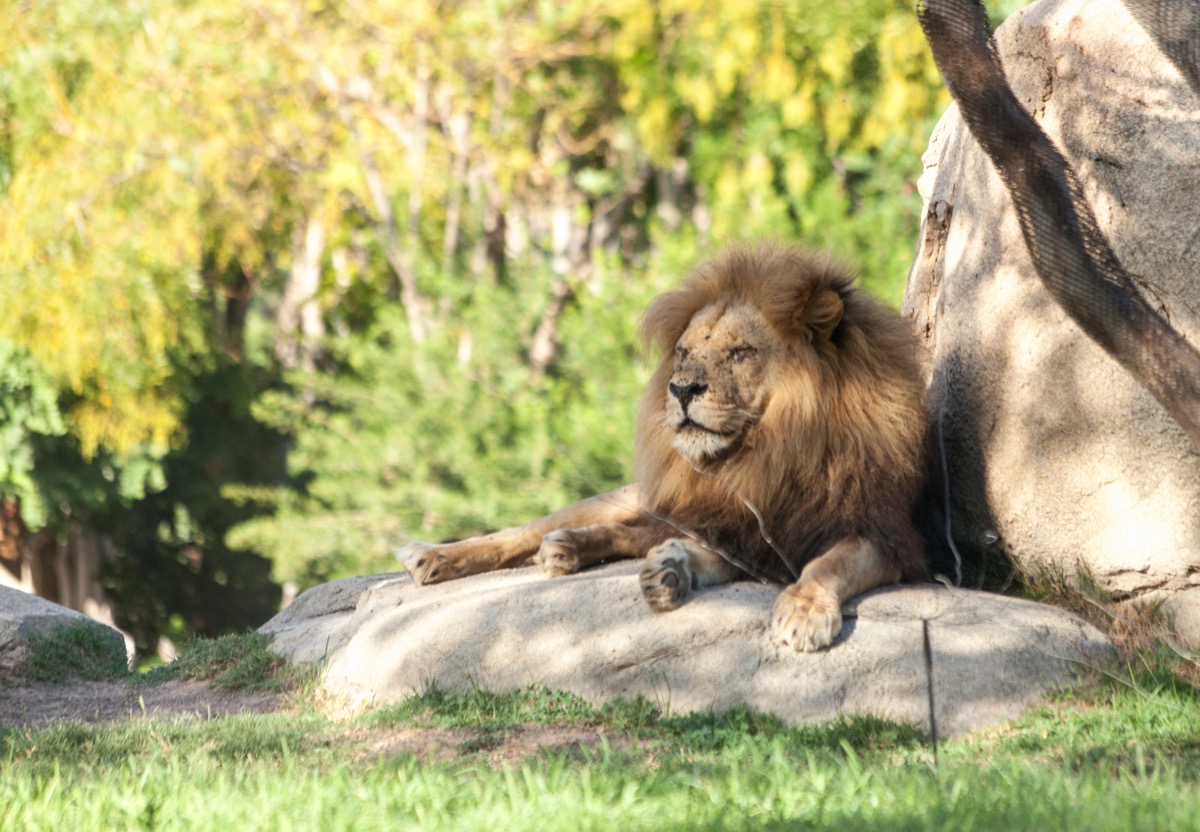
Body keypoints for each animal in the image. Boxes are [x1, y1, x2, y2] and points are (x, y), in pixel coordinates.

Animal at [399, 244, 930, 651]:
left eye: (741, 352)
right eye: (684, 352)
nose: (680, 388)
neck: (771, 454)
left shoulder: (881, 535)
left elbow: (827, 563)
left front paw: (802, 609)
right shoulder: (735, 527)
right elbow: (698, 548)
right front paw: (674, 570)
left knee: (625, 533)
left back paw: (568, 548)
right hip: (632, 497)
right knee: (531, 529)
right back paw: (434, 556)